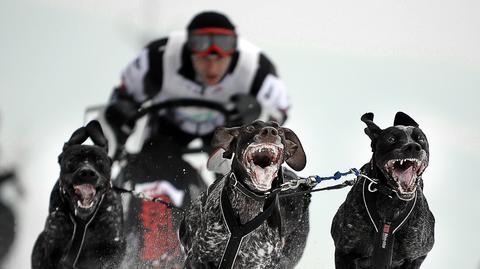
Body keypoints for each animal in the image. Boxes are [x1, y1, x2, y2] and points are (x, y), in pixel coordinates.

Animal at [31, 121, 125, 268]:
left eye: (99, 161)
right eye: (73, 160)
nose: (87, 172)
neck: (82, 221)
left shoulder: (114, 246)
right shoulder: (53, 248)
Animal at [330, 112, 436, 266]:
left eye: (420, 138)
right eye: (391, 139)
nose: (413, 147)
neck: (391, 201)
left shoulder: (417, 257)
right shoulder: (345, 252)